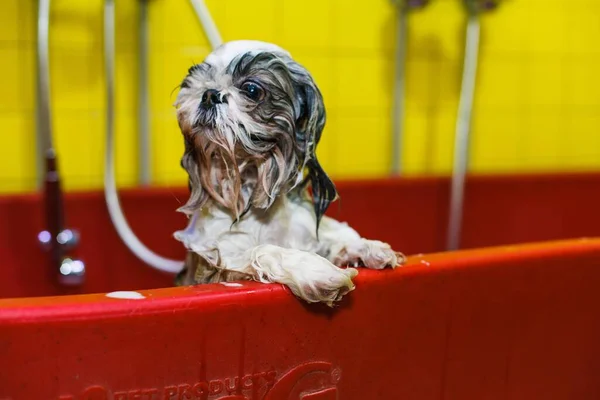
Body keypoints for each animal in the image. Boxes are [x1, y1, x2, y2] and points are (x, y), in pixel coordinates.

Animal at [171, 40, 404, 304]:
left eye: (252, 90)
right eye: (193, 80)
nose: (209, 93)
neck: (257, 207)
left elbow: (332, 240)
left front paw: (365, 247)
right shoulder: (209, 266)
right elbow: (261, 250)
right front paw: (315, 270)